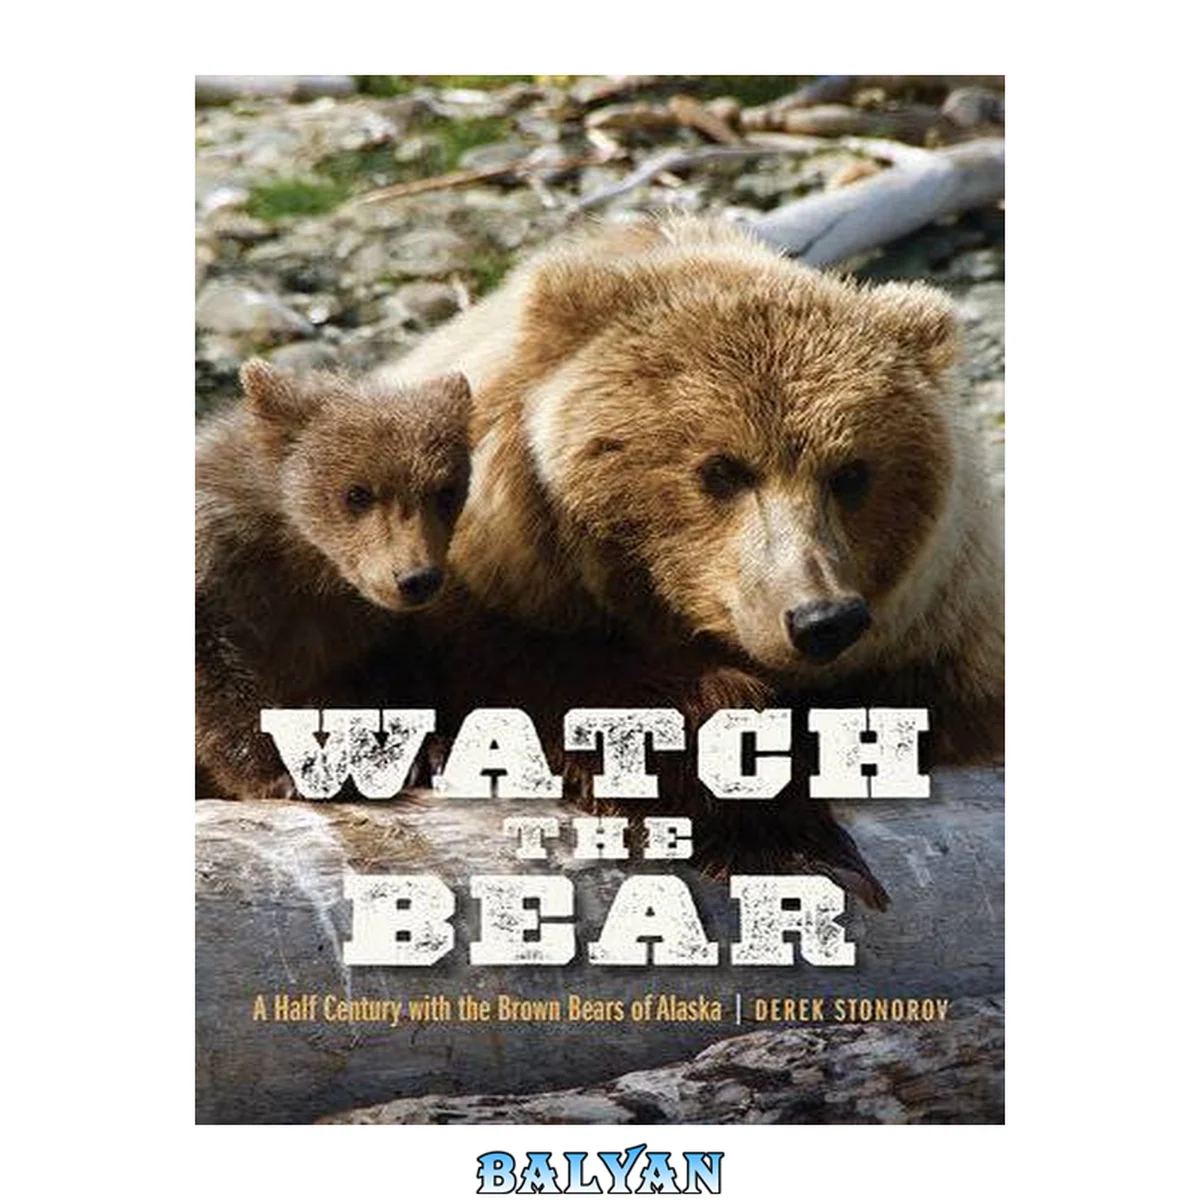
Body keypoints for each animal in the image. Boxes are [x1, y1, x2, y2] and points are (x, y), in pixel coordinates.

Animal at [196, 360, 472, 800]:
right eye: (357, 493)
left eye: (445, 491)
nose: (416, 578)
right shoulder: (218, 566)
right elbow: (215, 677)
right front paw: (282, 771)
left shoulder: (360, 626)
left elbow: (390, 673)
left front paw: (426, 753)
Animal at [378, 215, 1003, 905]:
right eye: (723, 468)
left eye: (851, 473)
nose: (822, 618)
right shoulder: (487, 598)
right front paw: (784, 834)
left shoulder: (943, 632)